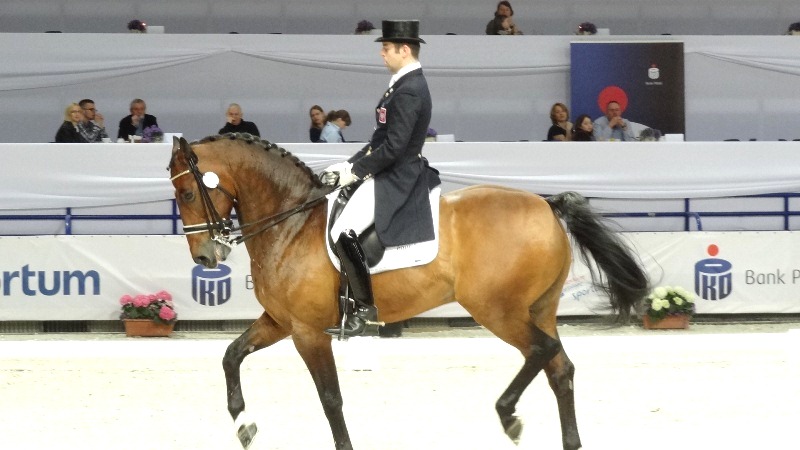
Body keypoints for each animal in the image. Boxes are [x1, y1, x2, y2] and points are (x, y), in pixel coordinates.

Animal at [167, 134, 649, 450]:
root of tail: (546, 205)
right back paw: (566, 439)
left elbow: (330, 398)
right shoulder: (280, 321)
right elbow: (231, 355)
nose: (206, 257)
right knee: (559, 368)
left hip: (497, 310)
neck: (291, 222)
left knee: (541, 350)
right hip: (539, 307)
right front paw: (243, 424)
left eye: (188, 192)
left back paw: (508, 414)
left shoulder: (308, 332)